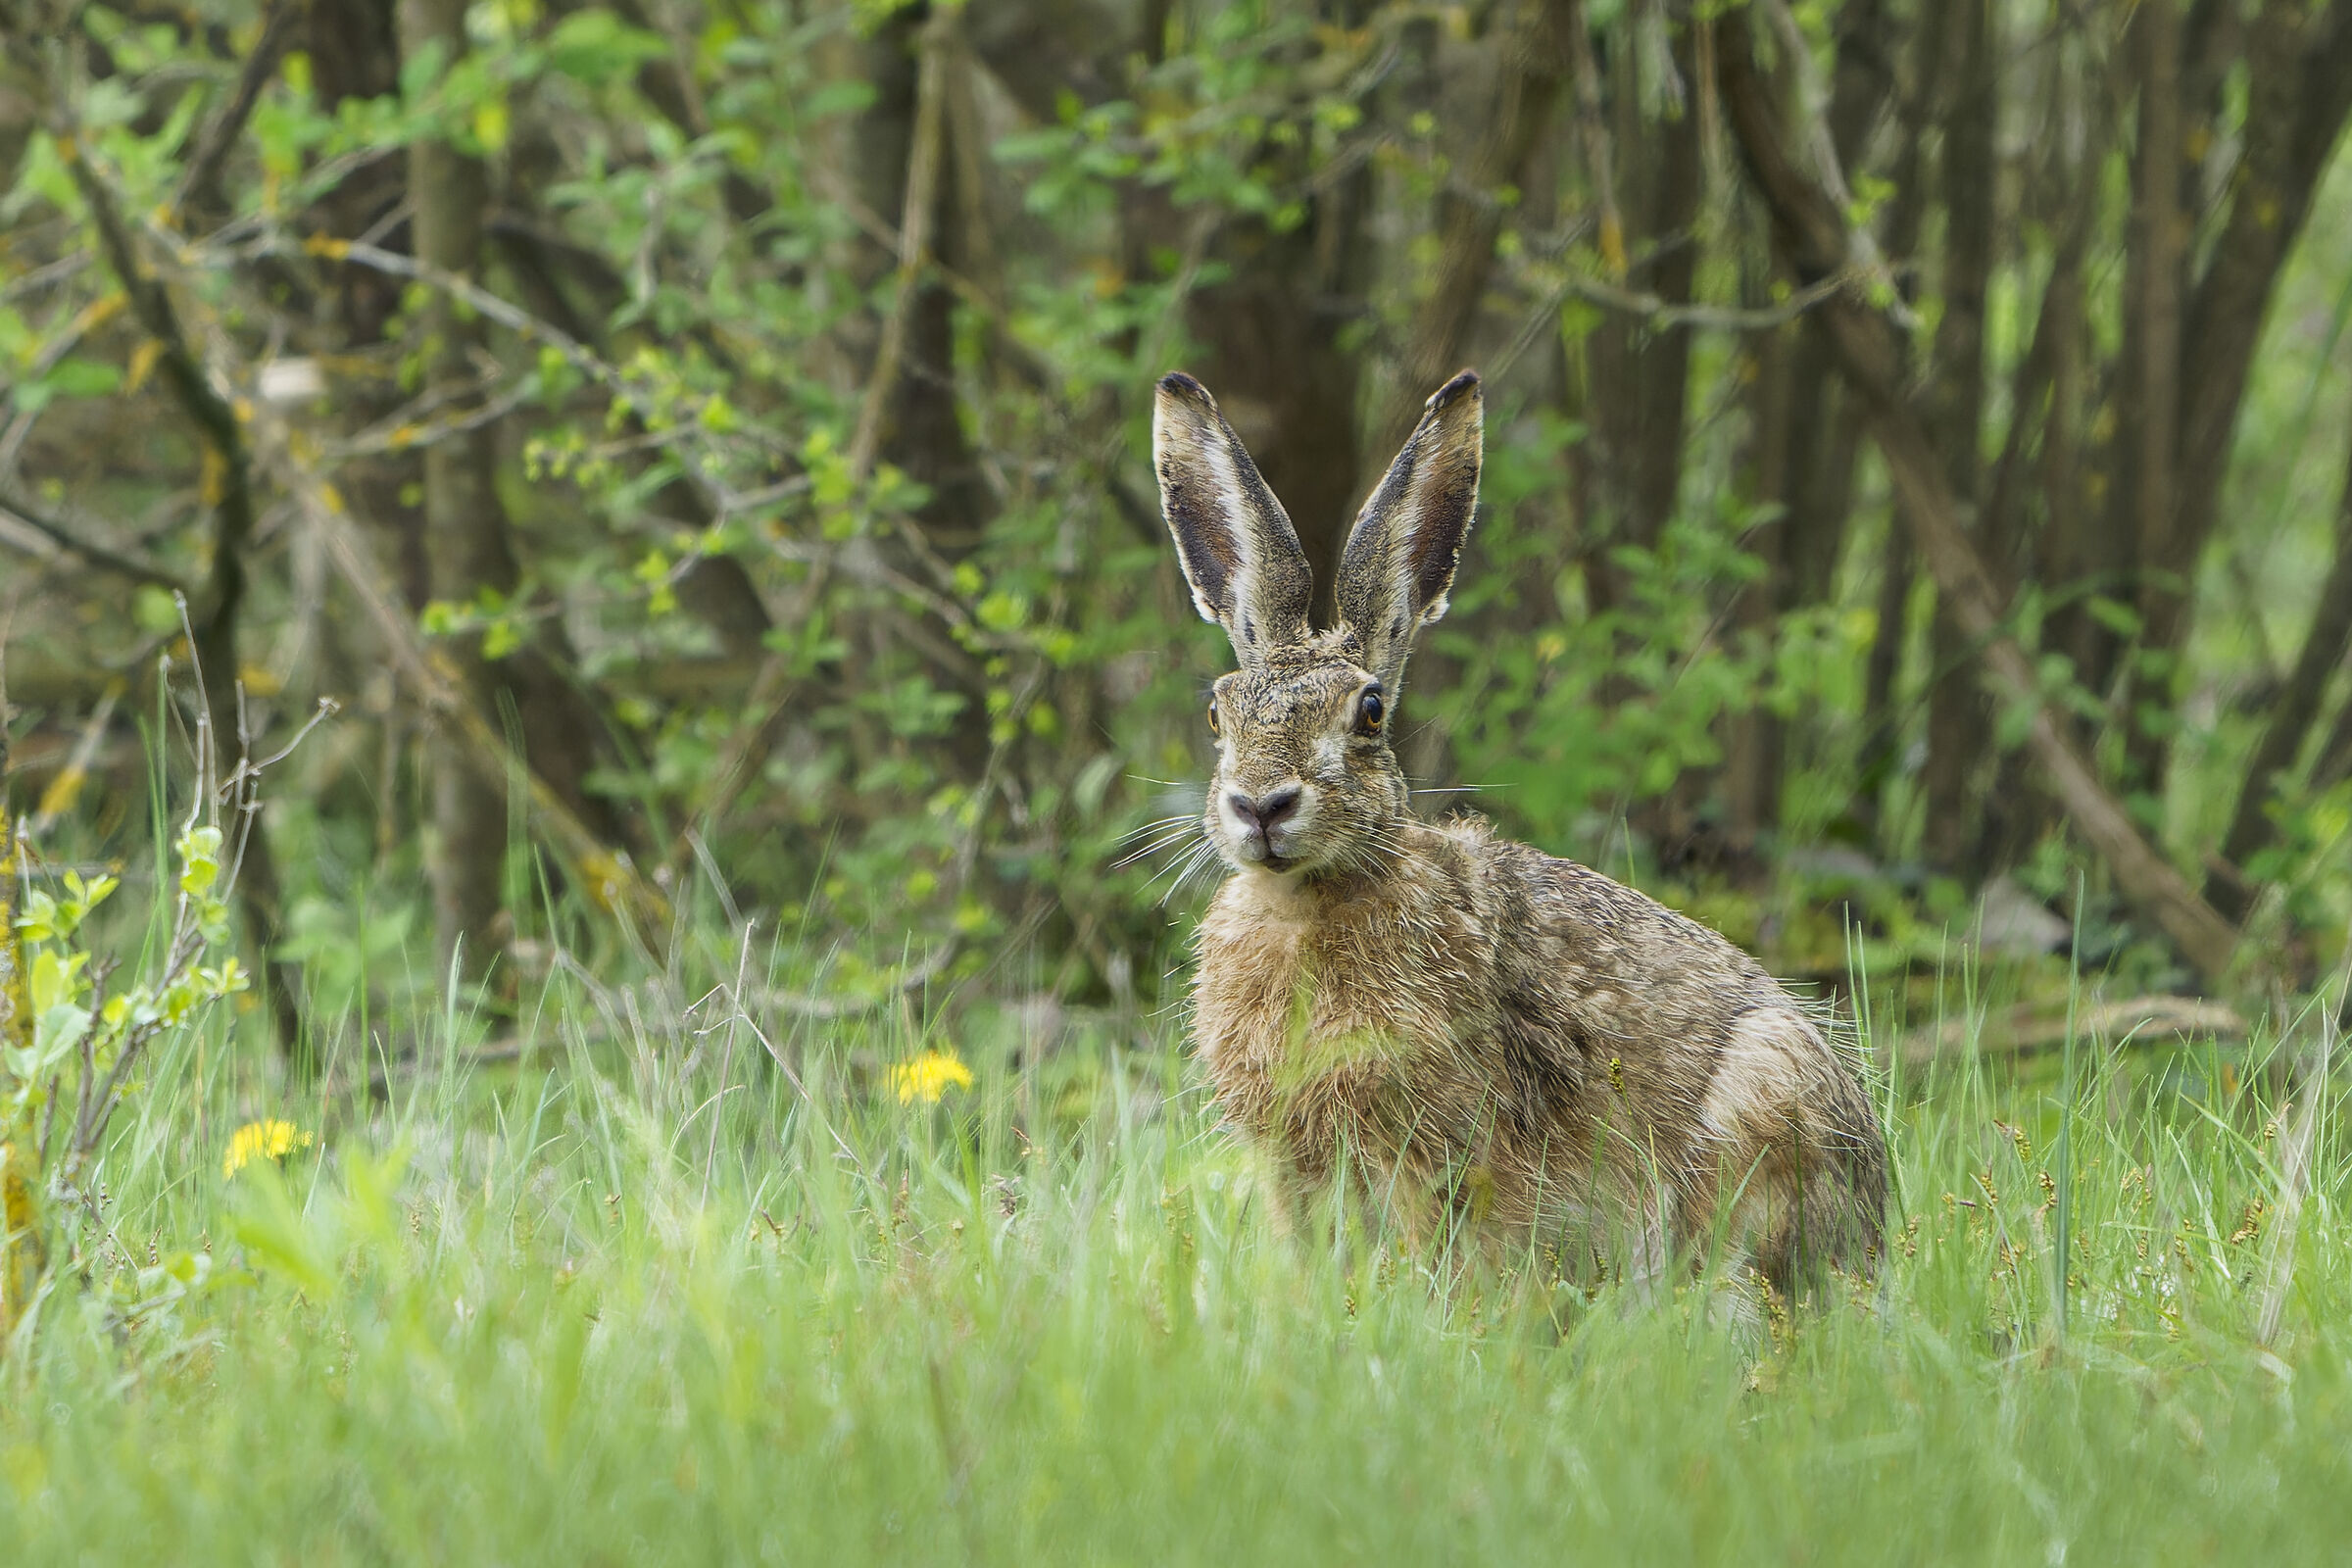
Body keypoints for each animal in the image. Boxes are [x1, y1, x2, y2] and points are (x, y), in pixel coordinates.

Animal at [1152, 367, 1887, 1291]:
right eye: (1218, 713)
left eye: (1370, 712)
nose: (1260, 806)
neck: (1306, 900)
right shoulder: (1297, 1168)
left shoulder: (1434, 1151)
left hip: (1758, 1118)